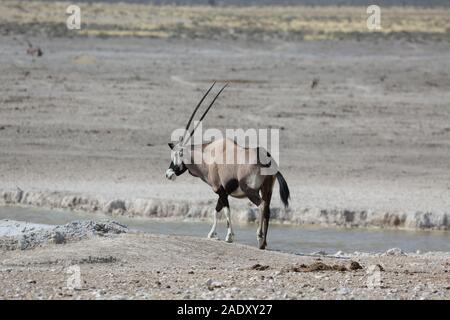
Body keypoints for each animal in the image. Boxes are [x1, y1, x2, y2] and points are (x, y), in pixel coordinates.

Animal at [166, 82, 292, 250]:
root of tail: (268, 160)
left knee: (261, 206)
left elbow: (225, 211)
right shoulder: (223, 192)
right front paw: (212, 234)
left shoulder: (220, 190)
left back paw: (259, 238)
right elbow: (216, 210)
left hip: (250, 190)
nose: (168, 174)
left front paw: (229, 237)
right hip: (267, 190)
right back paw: (263, 243)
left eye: (178, 155)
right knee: (267, 210)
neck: (208, 154)